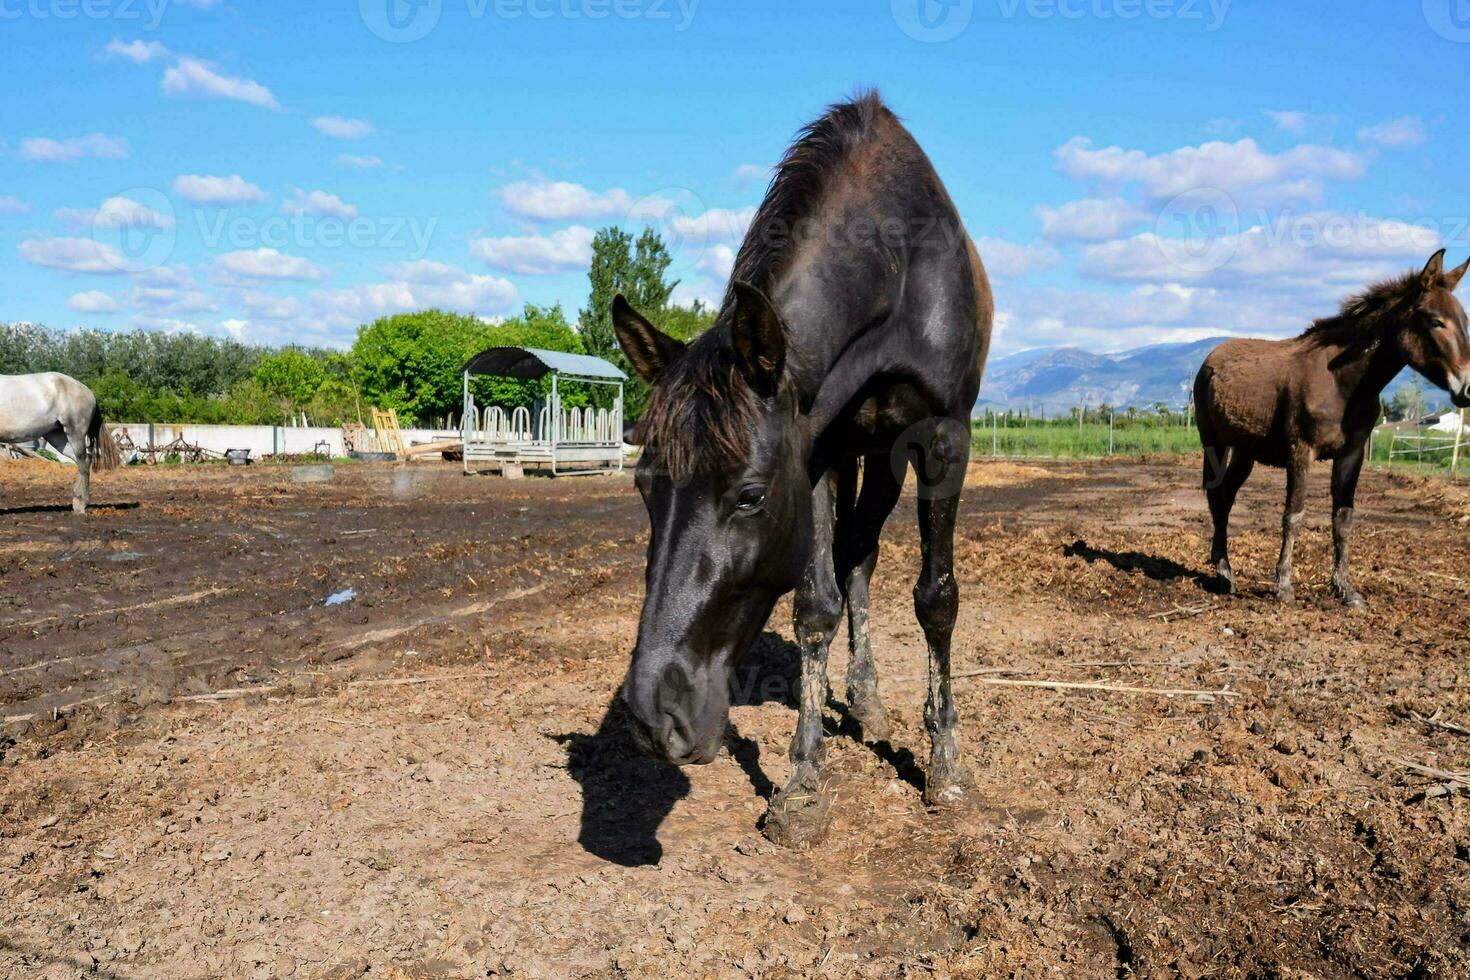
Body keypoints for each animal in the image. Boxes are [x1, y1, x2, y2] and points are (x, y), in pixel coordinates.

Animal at [1, 371, 122, 514]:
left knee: (83, 464)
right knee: (83, 462)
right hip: (58, 438)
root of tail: (88, 392)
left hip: (75, 434)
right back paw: (77, 501)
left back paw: (81, 505)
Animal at [602, 88, 993, 846]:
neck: (897, 269)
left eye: (751, 496)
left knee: (864, 552)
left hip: (889, 457)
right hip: (854, 457)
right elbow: (816, 605)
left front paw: (945, 765)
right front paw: (805, 784)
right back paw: (860, 697)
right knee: (854, 558)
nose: (653, 718)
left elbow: (937, 598)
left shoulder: (942, 438)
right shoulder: (813, 451)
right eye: (643, 488)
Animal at [1193, 246, 1470, 605]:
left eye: (1465, 321)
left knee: (1226, 497)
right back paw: (1224, 573)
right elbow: (1293, 515)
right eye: (1436, 321)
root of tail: (1211, 357)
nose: (1468, 389)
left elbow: (1343, 518)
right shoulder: (1301, 451)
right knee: (1216, 497)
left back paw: (1225, 571)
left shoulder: (1351, 454)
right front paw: (1284, 586)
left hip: (1245, 451)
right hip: (1214, 443)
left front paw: (1346, 589)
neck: (1343, 383)